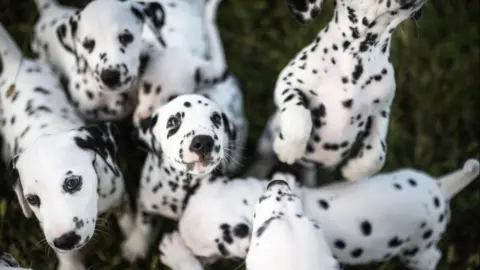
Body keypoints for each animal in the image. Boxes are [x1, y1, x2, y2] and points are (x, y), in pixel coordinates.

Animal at [122, 94, 244, 262]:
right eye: (173, 121)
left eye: (216, 118)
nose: (203, 142)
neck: (181, 186)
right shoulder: (146, 202)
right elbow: (143, 225)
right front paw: (135, 246)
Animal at [249, 0, 426, 184]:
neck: (357, 58)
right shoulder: (288, 83)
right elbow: (299, 119)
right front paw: (288, 149)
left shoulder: (381, 110)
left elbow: (377, 153)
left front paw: (354, 171)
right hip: (265, 147)